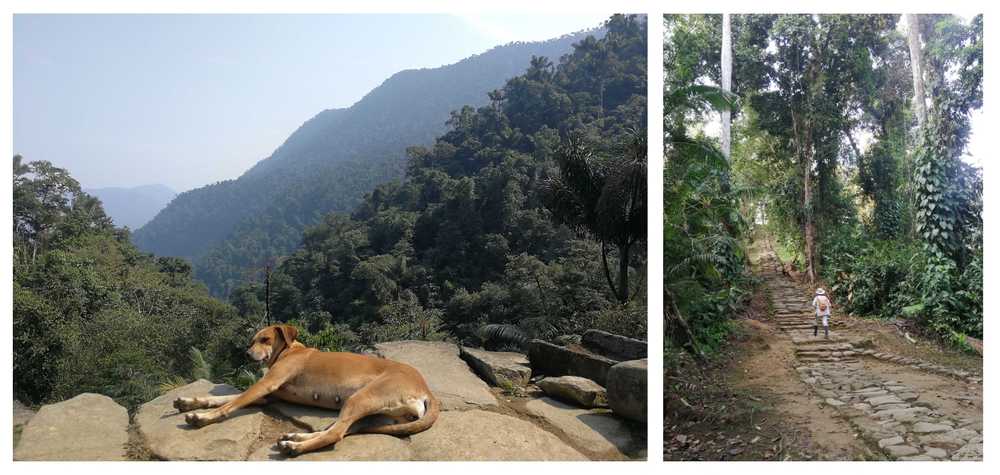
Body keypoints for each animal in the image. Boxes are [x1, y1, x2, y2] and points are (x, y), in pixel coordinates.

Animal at [174, 326, 440, 456]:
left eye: (265, 339)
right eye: (251, 341)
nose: (247, 355)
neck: (288, 350)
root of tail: (426, 388)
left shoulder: (266, 385)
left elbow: (231, 403)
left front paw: (203, 418)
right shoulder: (265, 396)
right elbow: (224, 398)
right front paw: (190, 402)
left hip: (362, 398)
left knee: (336, 434)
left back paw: (295, 447)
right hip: (374, 412)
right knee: (341, 429)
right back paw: (295, 437)